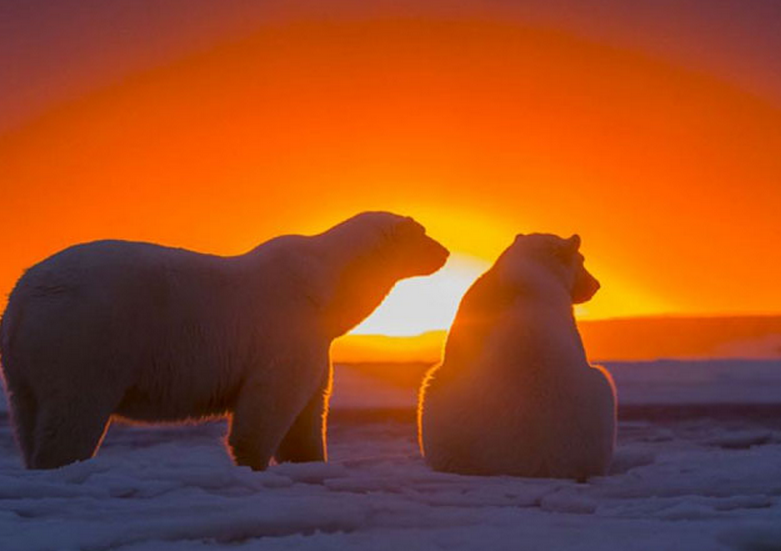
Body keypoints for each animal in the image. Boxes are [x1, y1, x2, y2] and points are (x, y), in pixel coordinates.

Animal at [0, 211, 448, 470]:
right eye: (423, 233)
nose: (444, 252)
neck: (328, 287)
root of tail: (22, 297)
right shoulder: (285, 331)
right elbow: (269, 404)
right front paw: (252, 463)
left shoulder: (315, 343)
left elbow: (308, 408)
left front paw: (309, 459)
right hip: (87, 338)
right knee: (74, 411)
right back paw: (62, 463)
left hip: (24, 366)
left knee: (28, 415)